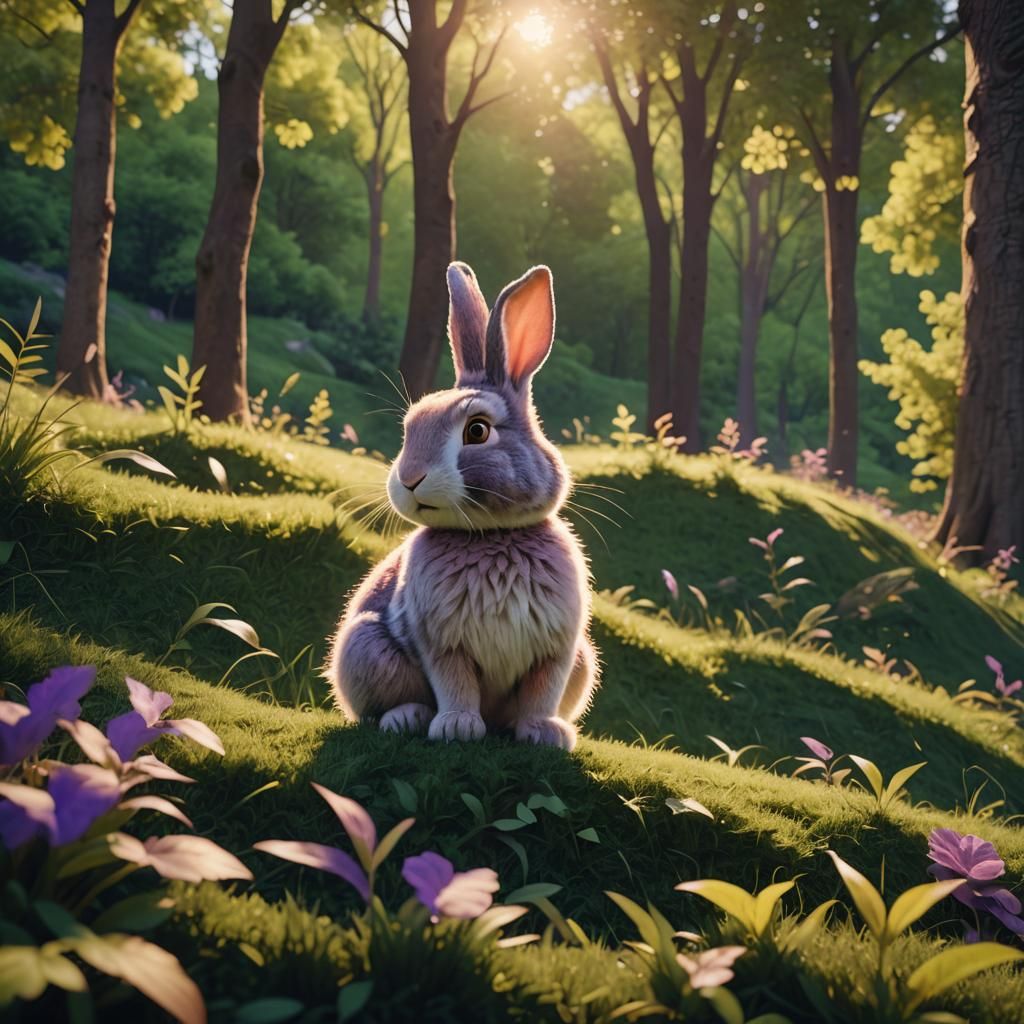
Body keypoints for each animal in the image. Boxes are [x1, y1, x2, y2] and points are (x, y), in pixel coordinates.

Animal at [327, 261, 599, 751]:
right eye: (409, 429)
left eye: (477, 431)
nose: (409, 478)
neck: (491, 535)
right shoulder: (442, 644)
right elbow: (455, 683)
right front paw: (457, 727)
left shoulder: (558, 648)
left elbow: (542, 692)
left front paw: (544, 733)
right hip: (365, 647)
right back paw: (409, 718)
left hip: (586, 658)